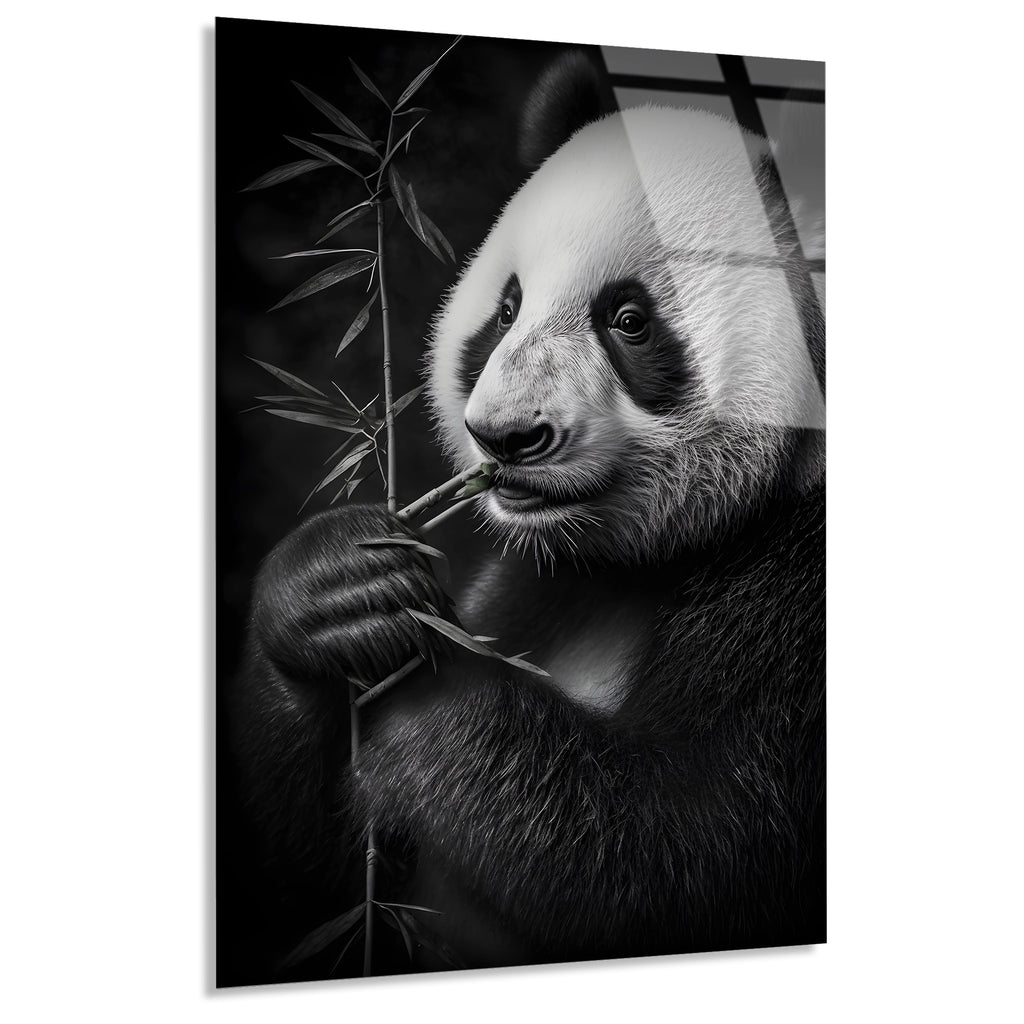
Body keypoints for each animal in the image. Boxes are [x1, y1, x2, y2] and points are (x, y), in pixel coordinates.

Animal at [232, 53, 825, 976]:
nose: (505, 438)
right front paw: (337, 592)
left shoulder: (803, 599)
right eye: (506, 309)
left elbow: (688, 849)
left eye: (629, 320)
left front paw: (430, 693)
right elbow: (314, 892)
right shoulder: (538, 580)